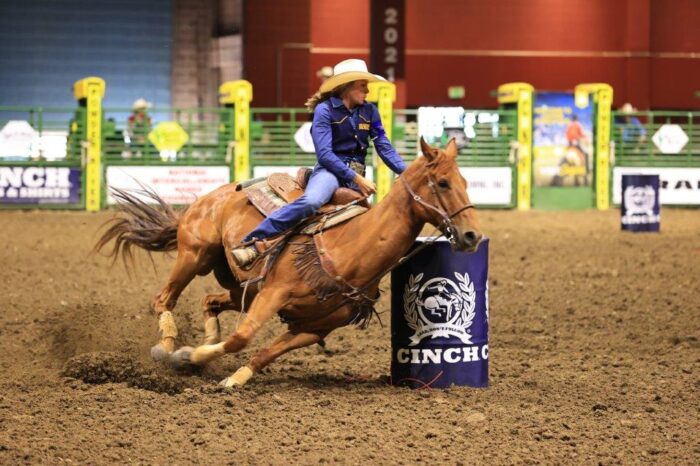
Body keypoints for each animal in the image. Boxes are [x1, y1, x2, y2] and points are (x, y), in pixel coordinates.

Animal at [98, 137, 482, 386]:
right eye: (443, 182)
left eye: (465, 180)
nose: (472, 236)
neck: (351, 248)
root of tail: (211, 196)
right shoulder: (274, 293)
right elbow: (241, 337)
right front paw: (185, 357)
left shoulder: (315, 327)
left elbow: (266, 352)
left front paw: (233, 376)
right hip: (195, 255)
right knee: (164, 299)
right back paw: (165, 349)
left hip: (241, 287)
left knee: (209, 301)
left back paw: (200, 343)